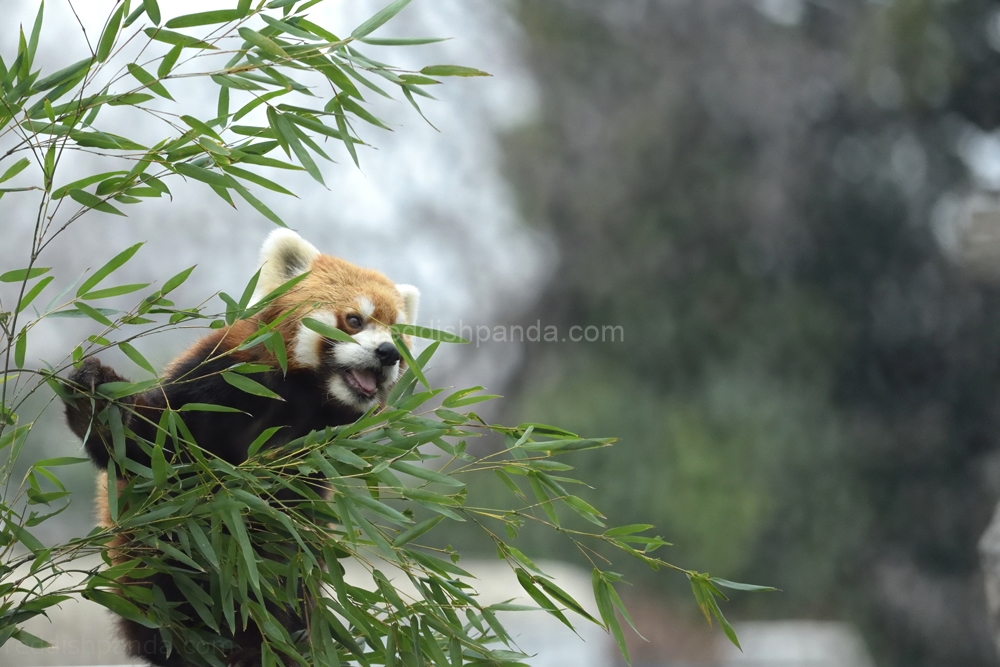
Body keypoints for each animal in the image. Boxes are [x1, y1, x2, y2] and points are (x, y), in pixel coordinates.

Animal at [59, 230, 418, 667]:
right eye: (354, 320)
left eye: (397, 335)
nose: (388, 353)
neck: (299, 399)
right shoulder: (215, 383)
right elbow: (146, 451)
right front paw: (100, 403)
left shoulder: (312, 456)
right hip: (152, 577)